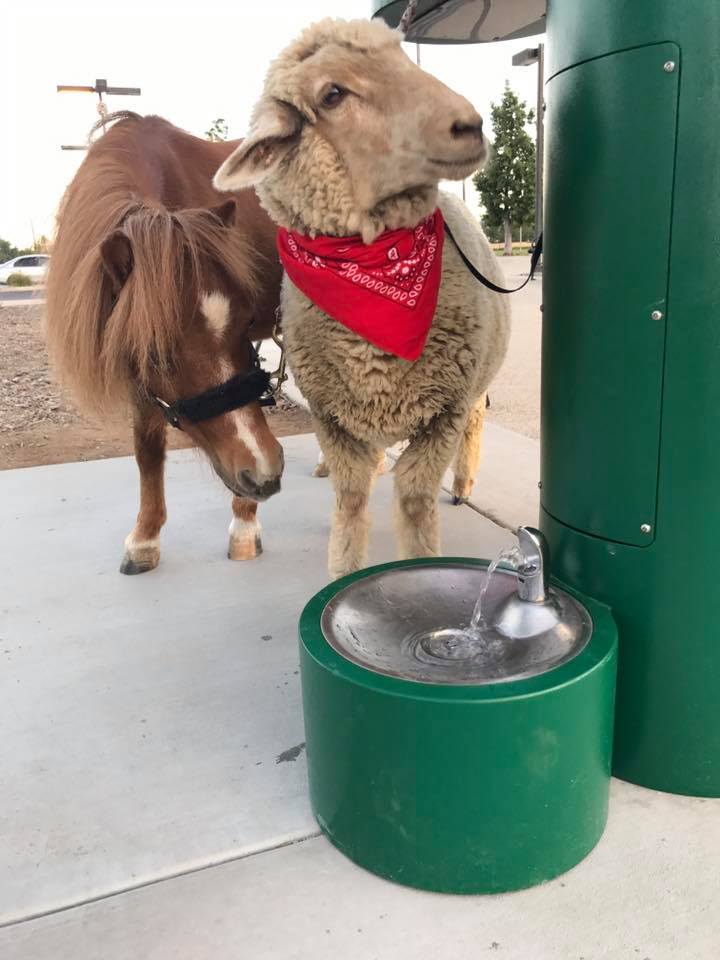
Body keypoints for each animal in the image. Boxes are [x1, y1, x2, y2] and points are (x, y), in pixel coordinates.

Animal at [45, 112, 284, 574]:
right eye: (154, 353)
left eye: (247, 323)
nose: (264, 474)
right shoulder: (138, 375)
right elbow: (147, 449)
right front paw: (145, 538)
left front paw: (245, 524)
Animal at [214, 18, 510, 579]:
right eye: (332, 94)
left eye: (404, 56)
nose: (470, 125)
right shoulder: (334, 418)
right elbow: (350, 501)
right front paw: (344, 570)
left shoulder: (443, 414)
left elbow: (414, 502)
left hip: (475, 385)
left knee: (478, 422)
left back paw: (463, 483)